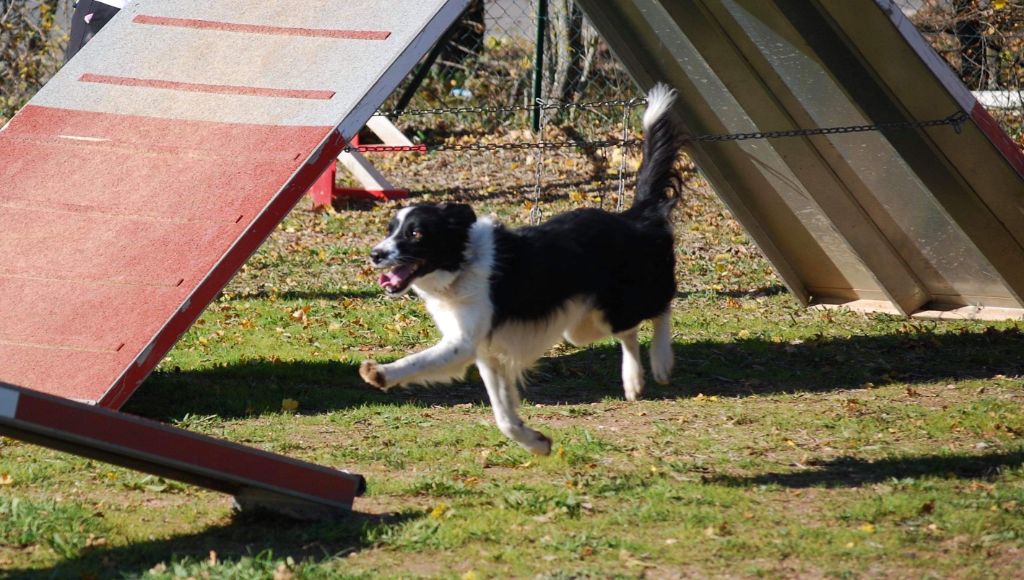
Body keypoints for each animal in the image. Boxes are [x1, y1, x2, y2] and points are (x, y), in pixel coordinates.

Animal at [362, 84, 688, 457]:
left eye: (415, 234)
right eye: (390, 230)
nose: (375, 255)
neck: (462, 265)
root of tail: (633, 217)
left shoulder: (463, 344)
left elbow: (418, 361)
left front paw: (381, 373)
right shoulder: (487, 354)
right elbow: (504, 417)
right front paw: (536, 443)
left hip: (620, 302)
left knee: (662, 306)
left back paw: (661, 362)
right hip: (582, 325)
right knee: (629, 332)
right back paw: (633, 381)